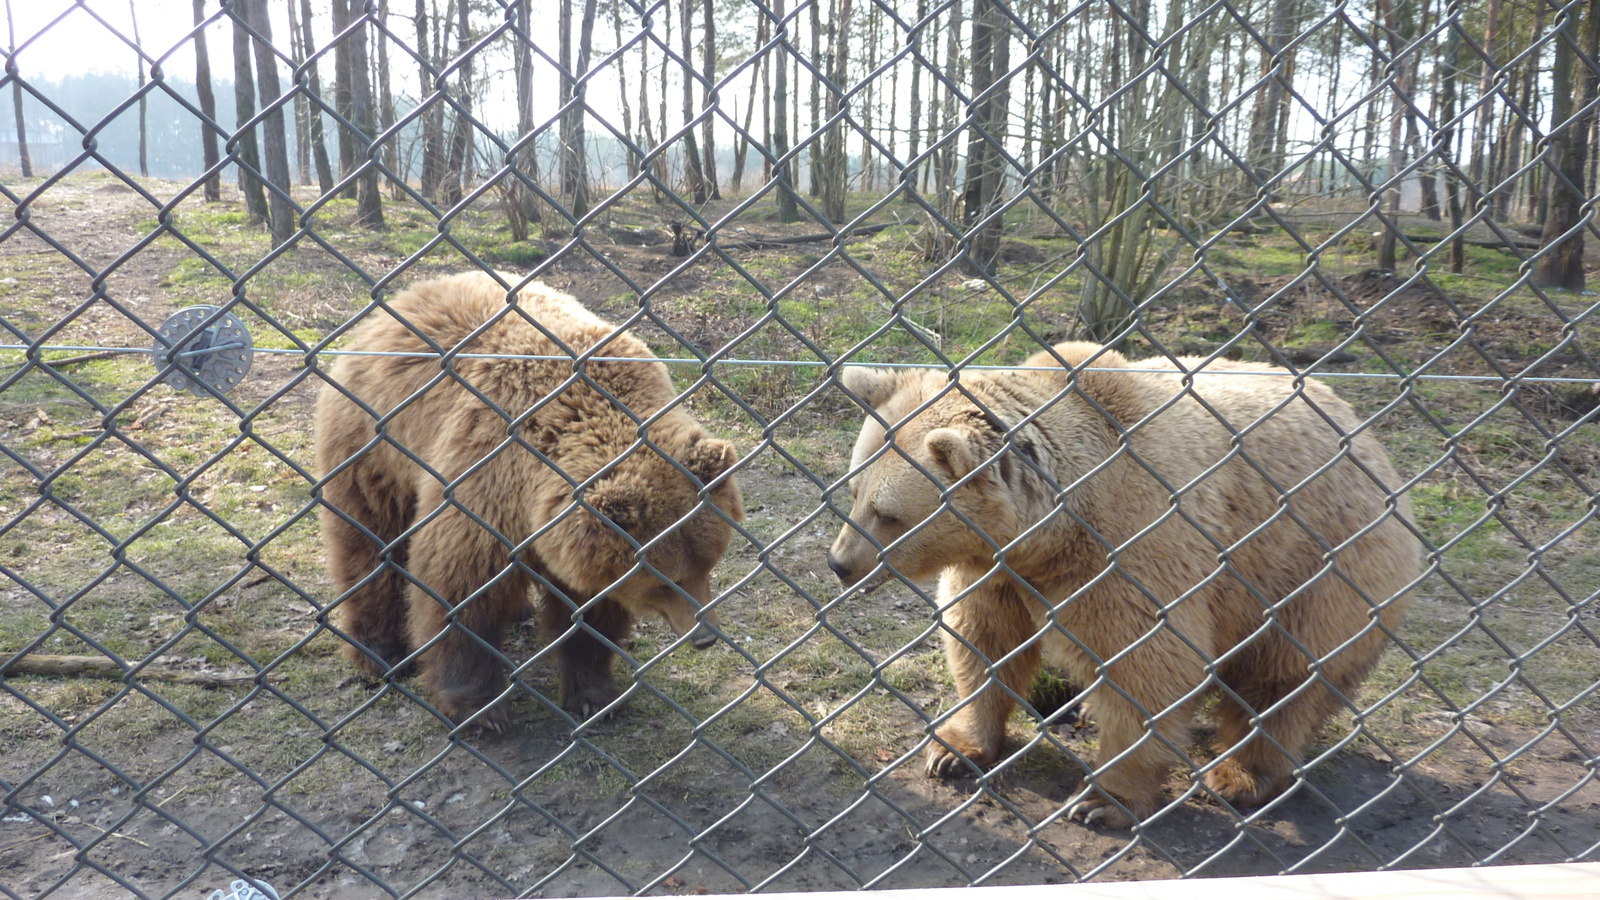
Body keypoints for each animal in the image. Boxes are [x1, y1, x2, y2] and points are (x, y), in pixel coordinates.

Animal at [315, 269, 745, 723]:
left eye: (708, 564)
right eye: (665, 582)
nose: (705, 636)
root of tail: (407, 295)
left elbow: (589, 613)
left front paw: (594, 694)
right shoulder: (485, 479)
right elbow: (460, 589)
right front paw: (477, 706)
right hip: (373, 441)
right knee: (368, 542)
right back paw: (380, 650)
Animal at [832, 341, 1420, 826]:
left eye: (888, 515)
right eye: (854, 489)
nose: (840, 563)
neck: (1050, 533)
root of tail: (1373, 443)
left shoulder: (1135, 546)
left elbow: (1146, 668)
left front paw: (1101, 801)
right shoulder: (998, 571)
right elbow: (985, 641)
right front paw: (953, 750)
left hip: (1321, 568)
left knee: (1285, 681)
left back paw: (1238, 776)